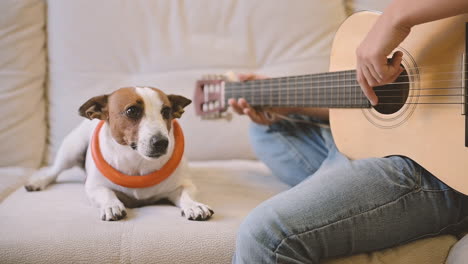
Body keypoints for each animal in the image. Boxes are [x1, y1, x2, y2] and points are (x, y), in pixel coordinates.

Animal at [24, 86, 213, 221]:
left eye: (166, 112)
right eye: (132, 111)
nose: (161, 142)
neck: (137, 160)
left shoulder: (182, 185)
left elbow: (186, 193)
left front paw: (194, 205)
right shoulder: (95, 187)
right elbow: (106, 193)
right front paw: (112, 205)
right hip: (72, 149)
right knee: (54, 171)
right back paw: (38, 181)